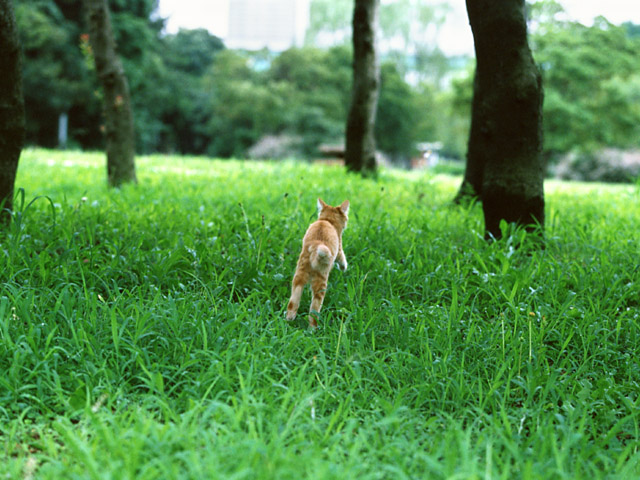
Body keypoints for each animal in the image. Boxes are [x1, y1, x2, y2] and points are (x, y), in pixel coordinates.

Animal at [288, 197, 350, 328]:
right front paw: (343, 267)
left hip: (298, 278)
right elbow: (342, 258)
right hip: (321, 284)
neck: (326, 221)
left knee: (292, 304)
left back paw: (289, 320)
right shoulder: (339, 248)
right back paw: (313, 329)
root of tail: (316, 245)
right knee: (313, 312)